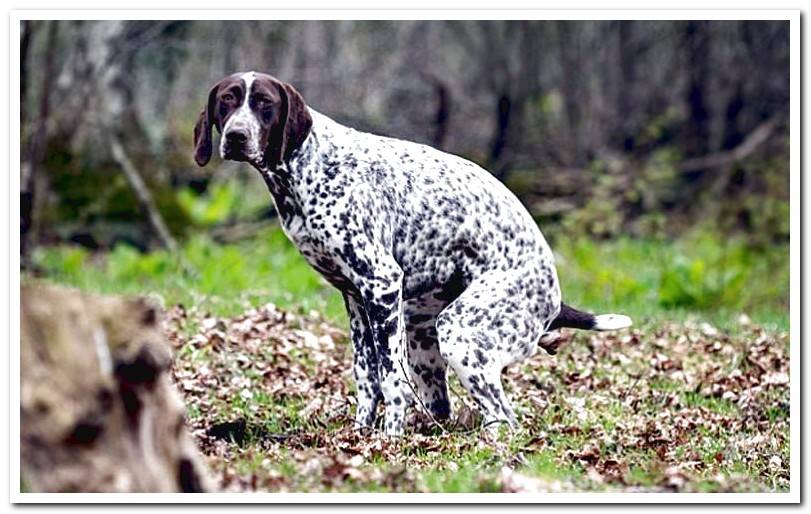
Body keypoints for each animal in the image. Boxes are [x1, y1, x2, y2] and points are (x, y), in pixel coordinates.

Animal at [192, 71, 636, 432]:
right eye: (227, 100)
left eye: (264, 104)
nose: (236, 136)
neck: (307, 168)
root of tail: (554, 295)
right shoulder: (357, 299)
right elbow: (367, 379)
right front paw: (361, 436)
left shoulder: (382, 284)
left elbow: (390, 382)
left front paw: (387, 442)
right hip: (424, 341)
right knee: (449, 409)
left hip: (460, 334)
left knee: (504, 420)